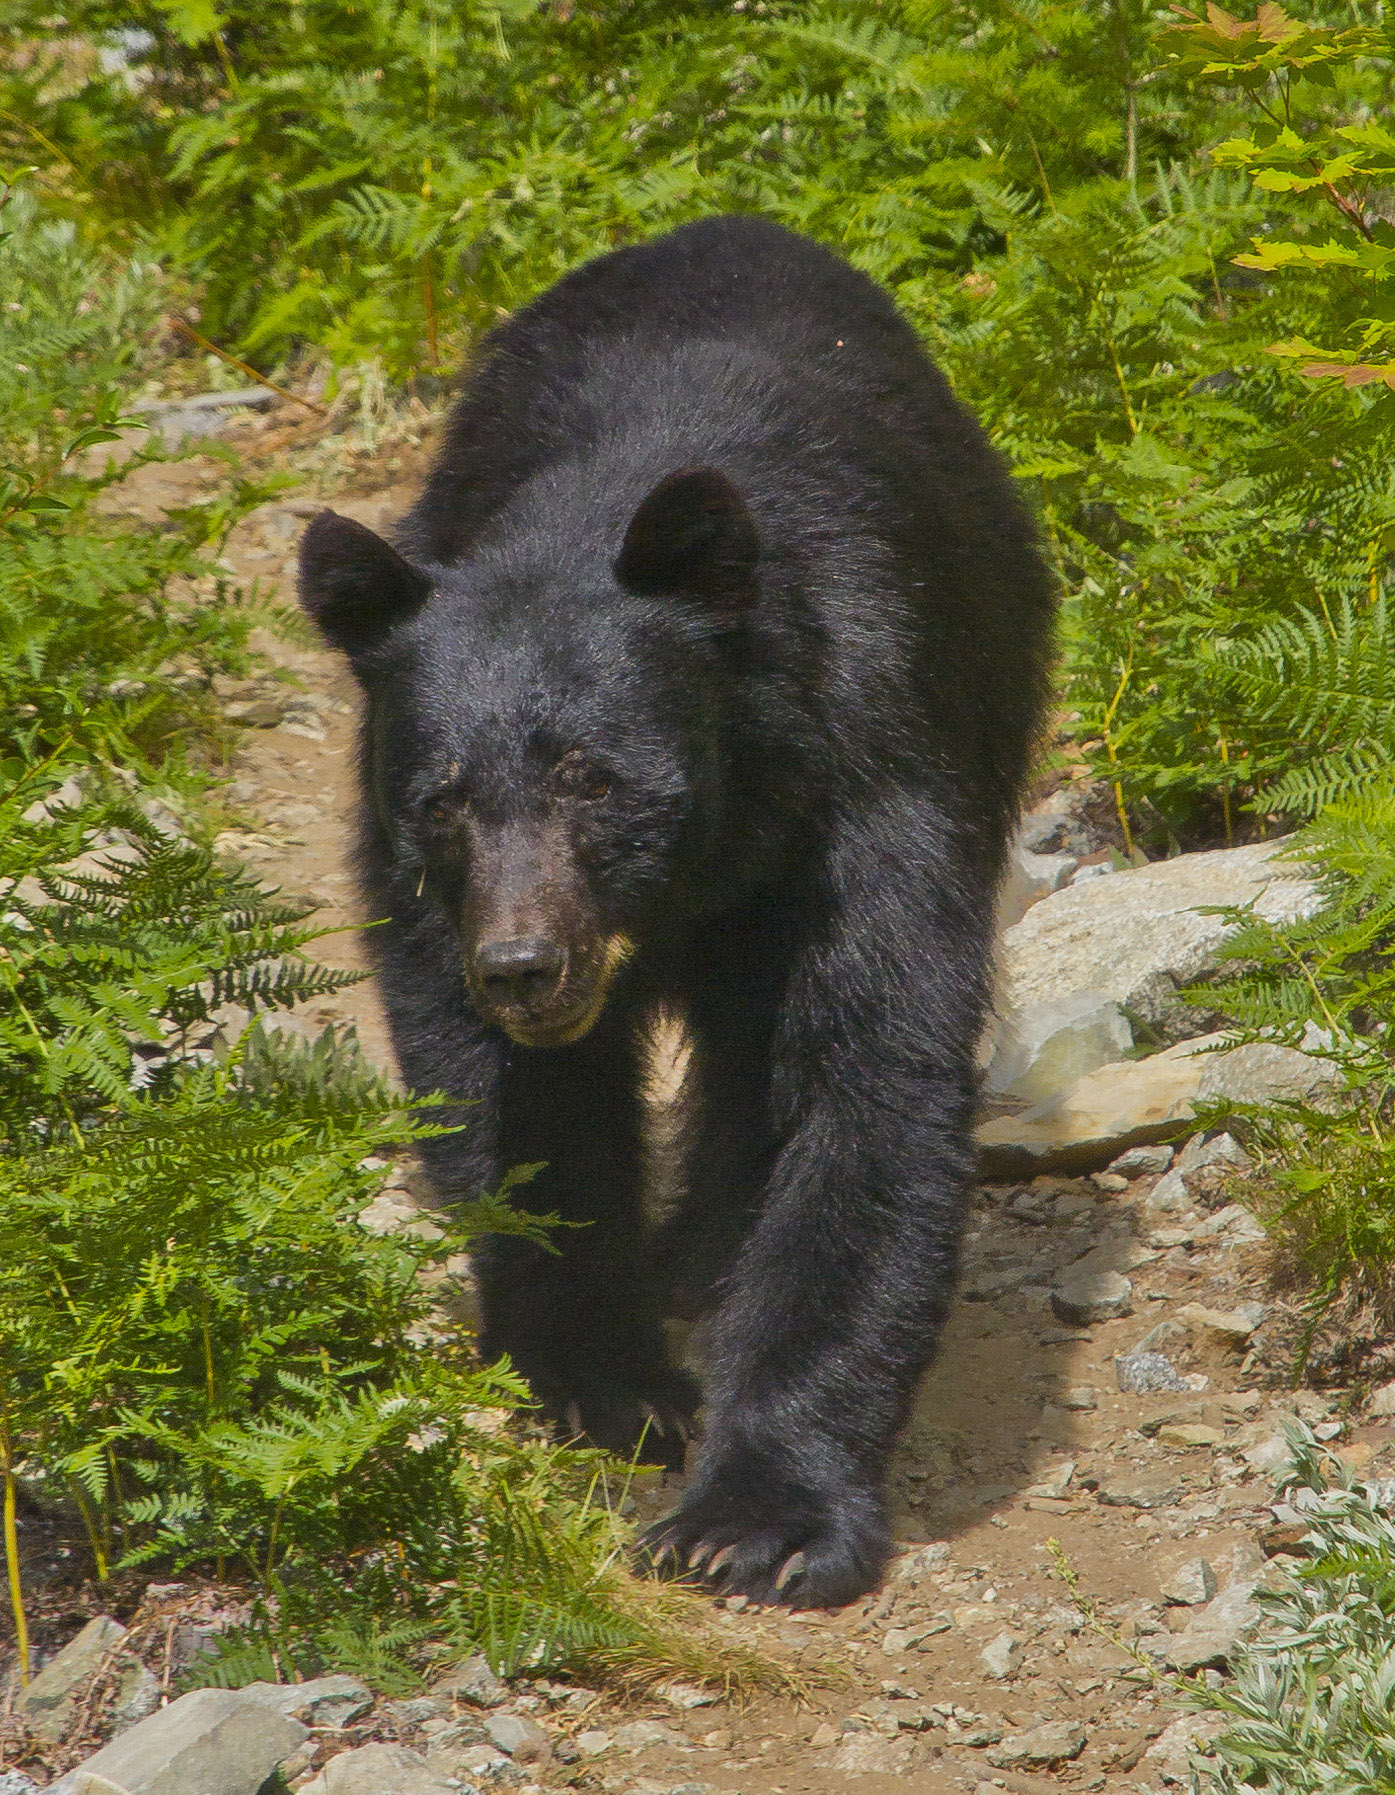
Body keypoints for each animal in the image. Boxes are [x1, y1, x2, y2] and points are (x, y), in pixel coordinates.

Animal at [299, 217, 1048, 1608]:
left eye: (593, 776)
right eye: (444, 797)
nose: (523, 965)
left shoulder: (871, 778)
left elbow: (864, 1082)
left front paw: (758, 1516)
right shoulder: (425, 895)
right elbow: (513, 1108)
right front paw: (608, 1382)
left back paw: (705, 1254)